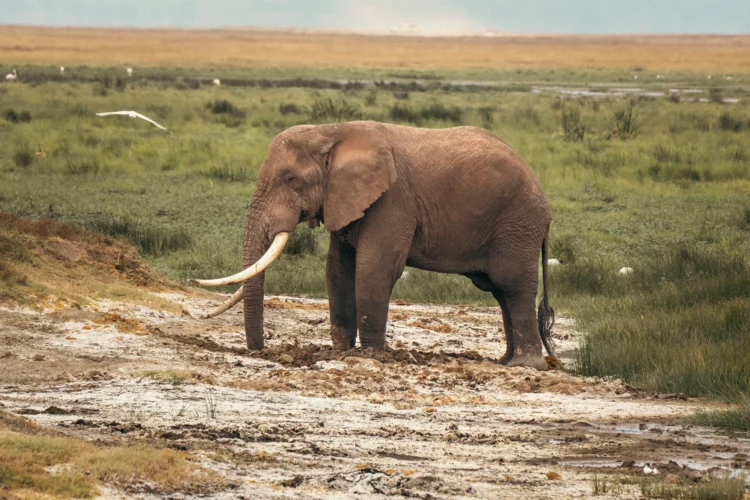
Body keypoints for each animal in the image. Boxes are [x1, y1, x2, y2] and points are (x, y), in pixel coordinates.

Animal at [192, 121, 555, 370]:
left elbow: (374, 269)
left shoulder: (392, 200)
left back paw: (524, 365)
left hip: (517, 225)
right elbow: (337, 269)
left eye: (289, 179)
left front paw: (369, 355)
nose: (260, 350)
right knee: (499, 292)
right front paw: (340, 351)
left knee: (512, 287)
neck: (331, 132)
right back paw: (505, 361)